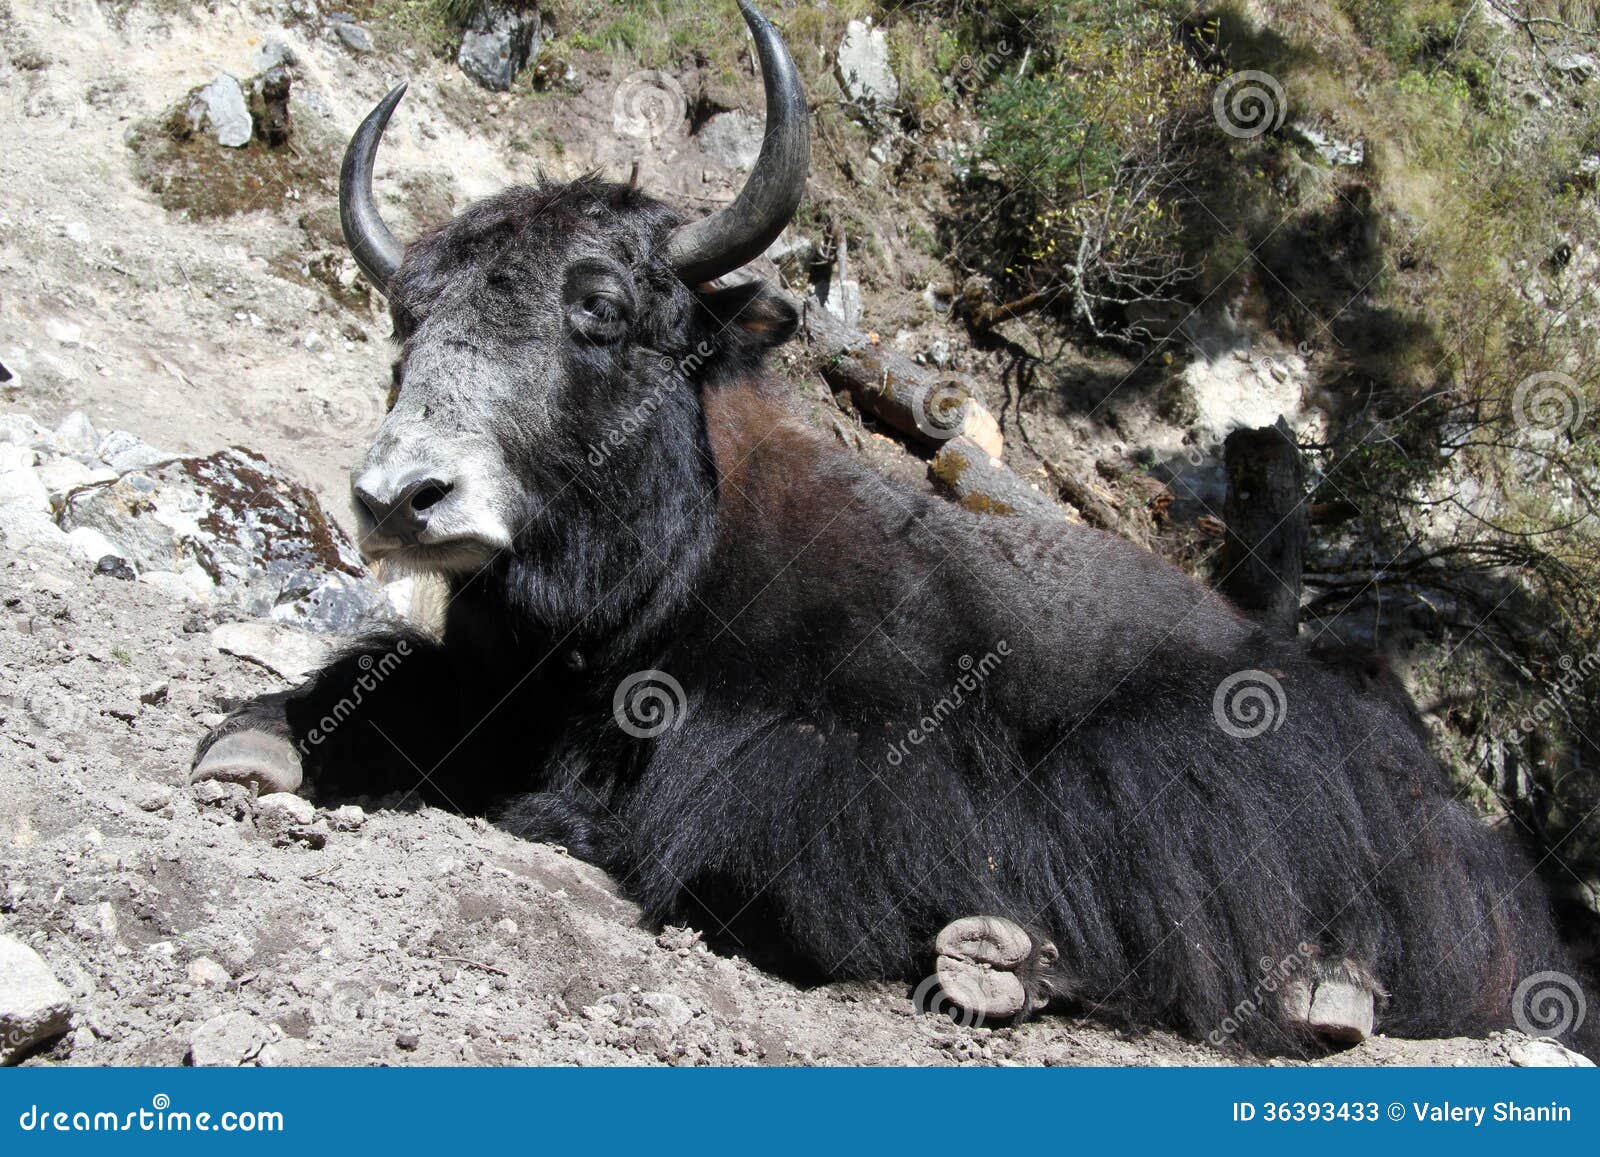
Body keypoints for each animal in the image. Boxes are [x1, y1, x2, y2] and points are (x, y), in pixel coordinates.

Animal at [193, 1, 1592, 1056]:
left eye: (600, 310)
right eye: (406, 317)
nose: (398, 499)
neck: (680, 573)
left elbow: (732, 845)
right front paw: (255, 745)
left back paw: (1134, 970)